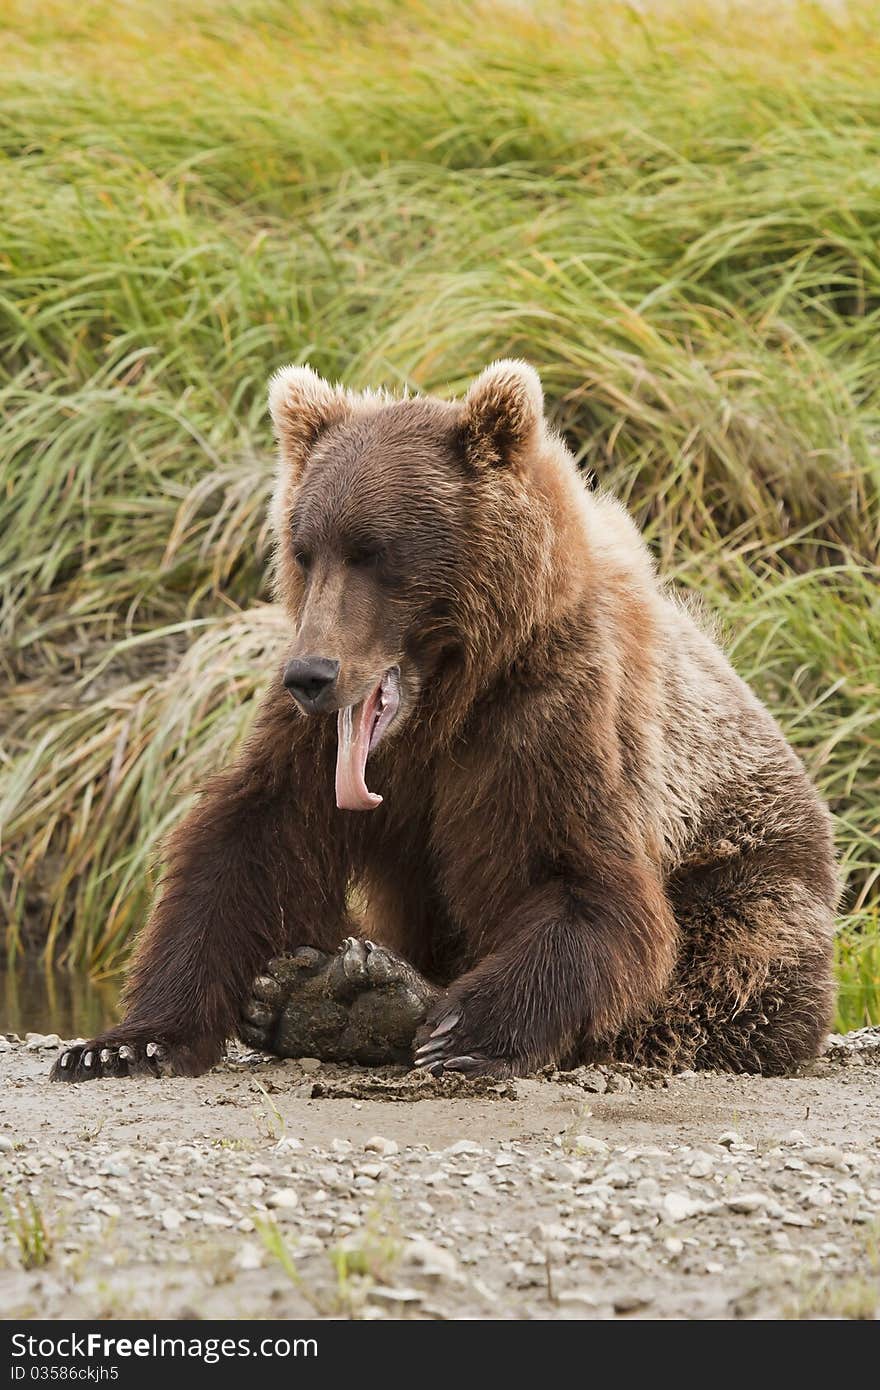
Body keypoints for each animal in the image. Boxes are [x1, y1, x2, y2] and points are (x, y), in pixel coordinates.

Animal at [49, 358, 839, 1084]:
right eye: (305, 550)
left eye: (374, 552)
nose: (310, 675)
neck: (446, 701)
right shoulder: (319, 741)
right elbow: (249, 843)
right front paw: (124, 1042)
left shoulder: (559, 719)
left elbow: (582, 885)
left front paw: (463, 1029)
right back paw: (319, 997)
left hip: (755, 871)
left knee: (720, 977)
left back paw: (361, 996)